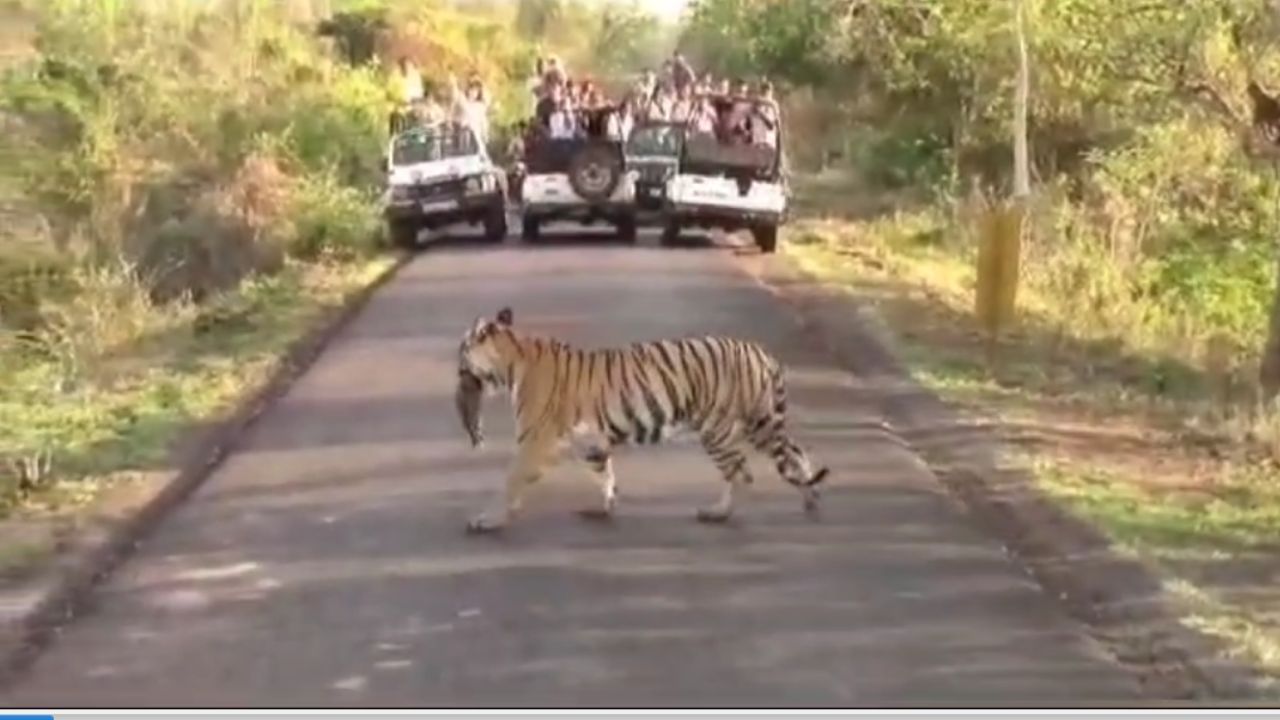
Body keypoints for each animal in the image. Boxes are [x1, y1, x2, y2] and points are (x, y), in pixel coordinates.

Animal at [458, 303, 829, 532]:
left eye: (463, 349)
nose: (458, 365)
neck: (511, 359)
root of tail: (762, 352)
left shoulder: (535, 440)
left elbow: (511, 480)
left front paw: (487, 519)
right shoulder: (590, 443)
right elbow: (604, 472)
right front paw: (606, 506)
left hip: (721, 430)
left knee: (742, 473)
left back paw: (718, 513)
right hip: (761, 423)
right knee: (795, 454)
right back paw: (811, 499)